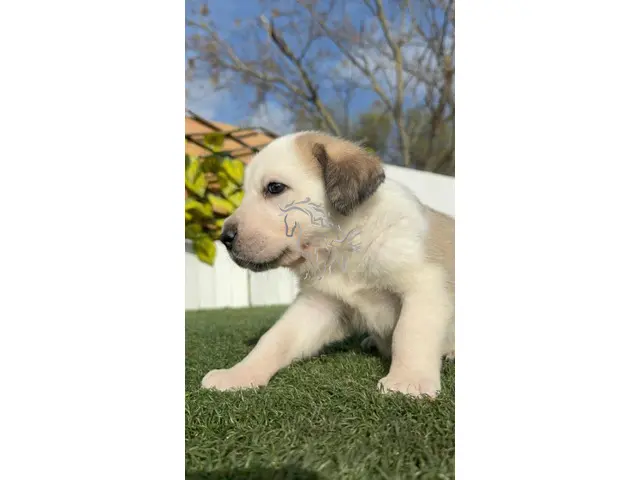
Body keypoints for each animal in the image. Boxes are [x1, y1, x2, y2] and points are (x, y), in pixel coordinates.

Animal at [200, 132, 454, 398]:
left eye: (275, 188)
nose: (225, 238)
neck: (348, 246)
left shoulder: (424, 285)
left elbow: (410, 333)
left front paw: (408, 381)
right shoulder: (319, 305)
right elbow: (275, 338)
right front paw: (238, 374)